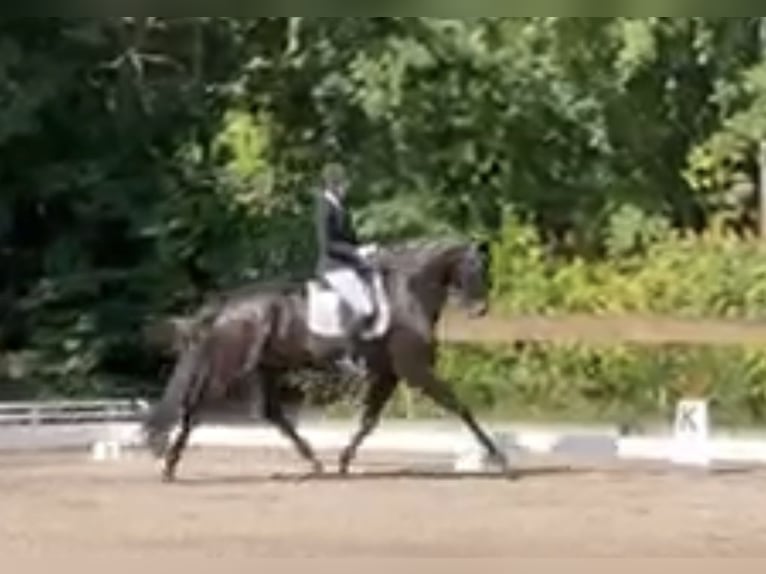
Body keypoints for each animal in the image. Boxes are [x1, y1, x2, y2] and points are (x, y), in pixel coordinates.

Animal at [142, 237, 513, 482]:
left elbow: (369, 420)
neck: (406, 296)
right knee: (195, 409)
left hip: (266, 368)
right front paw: (501, 460)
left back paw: (315, 464)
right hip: (229, 367)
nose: (480, 309)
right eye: (473, 269)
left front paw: (345, 461)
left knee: (273, 415)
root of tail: (229, 304)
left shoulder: (389, 373)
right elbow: (460, 407)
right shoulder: (414, 370)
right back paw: (170, 466)